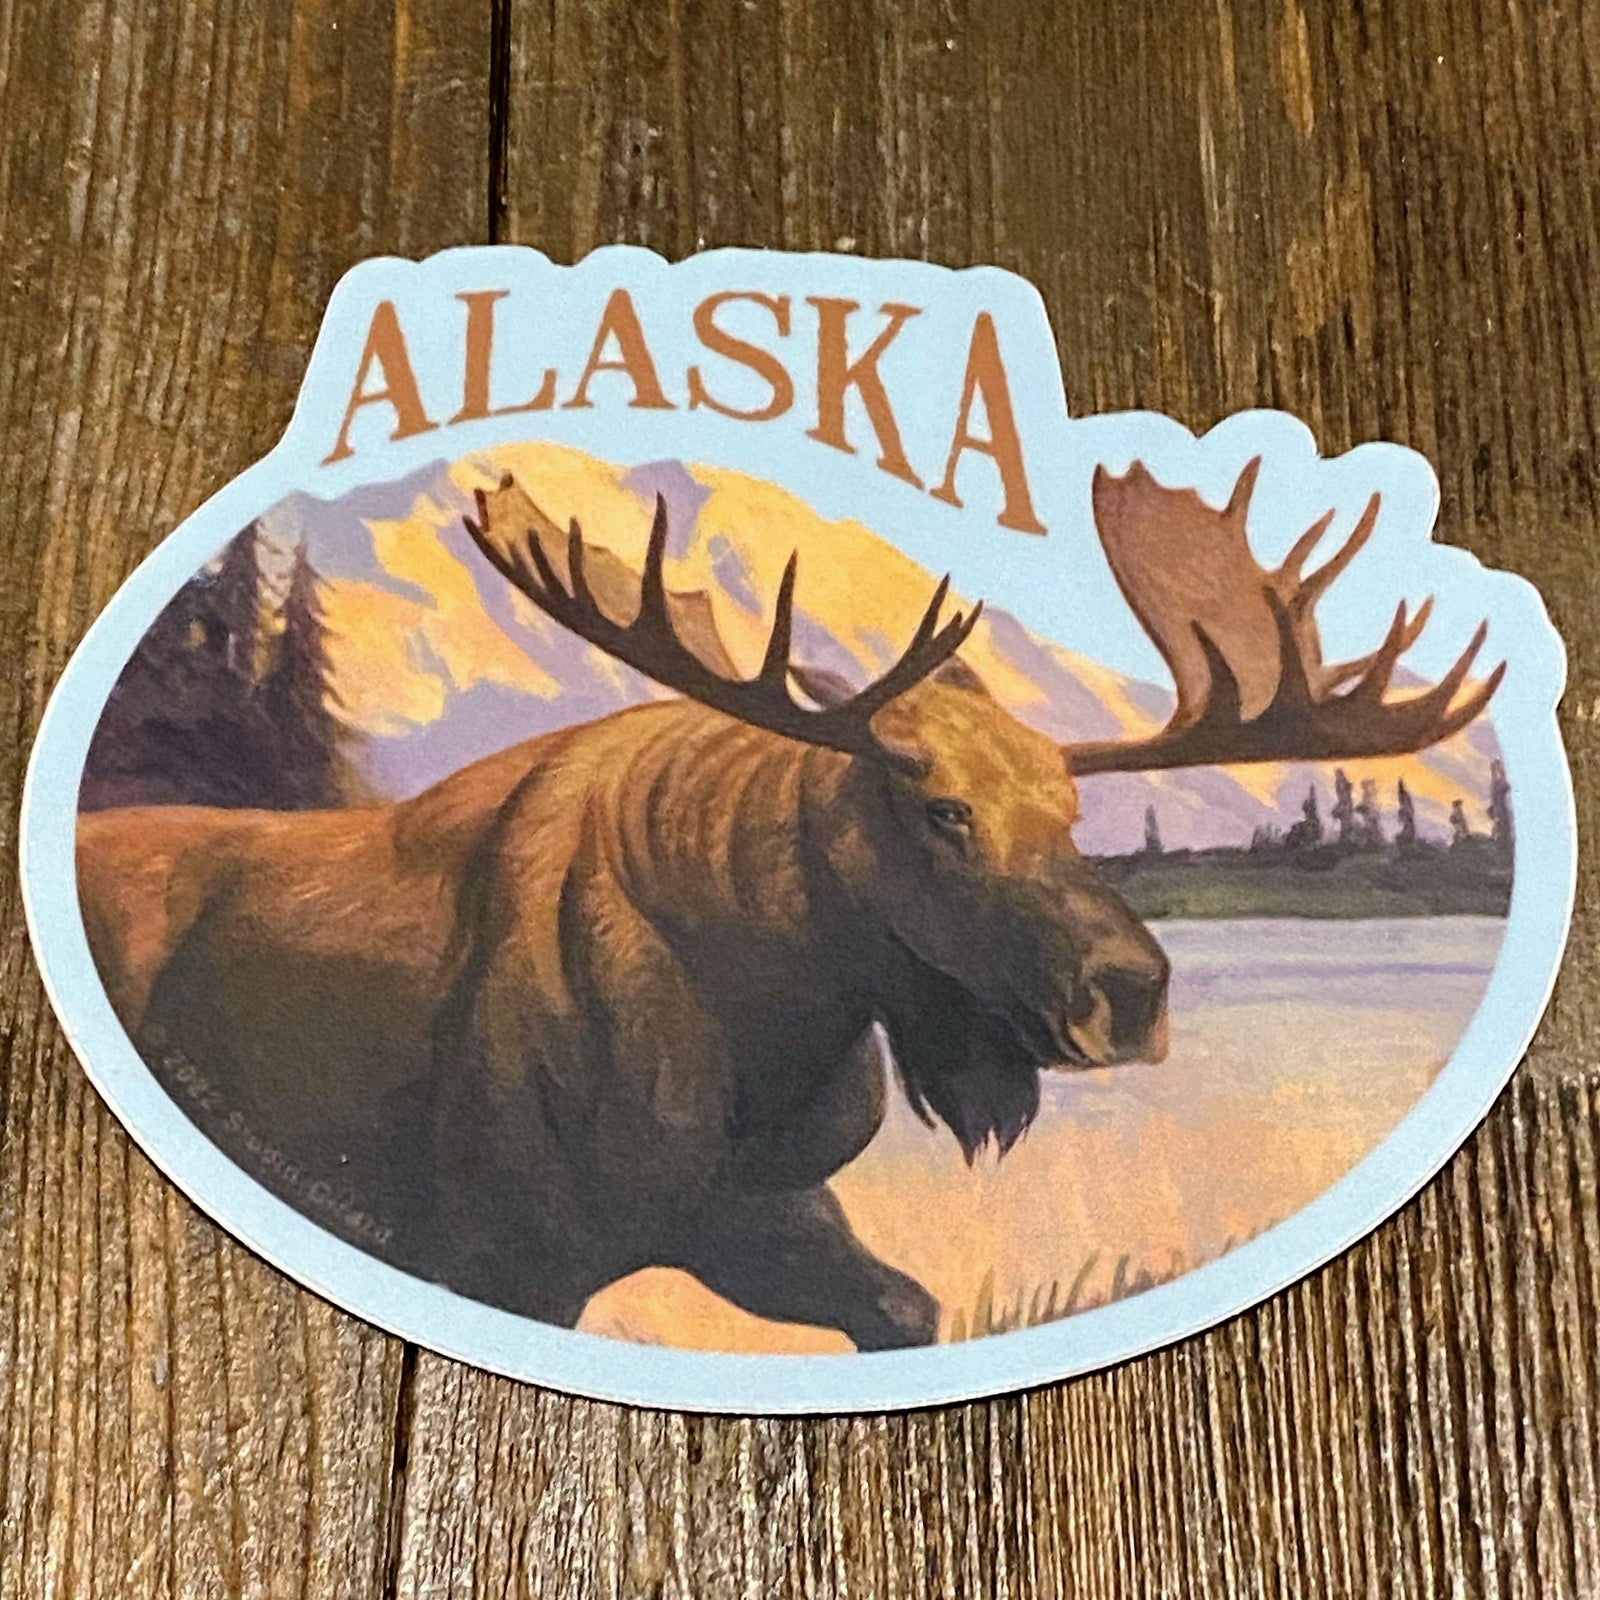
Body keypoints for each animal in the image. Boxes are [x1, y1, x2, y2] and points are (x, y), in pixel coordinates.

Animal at [75, 458, 1501, 1349]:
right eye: (942, 811)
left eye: (1071, 809)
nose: (1133, 992)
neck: (760, 1028)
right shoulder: (500, 1246)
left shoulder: (754, 1213)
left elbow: (909, 1310)